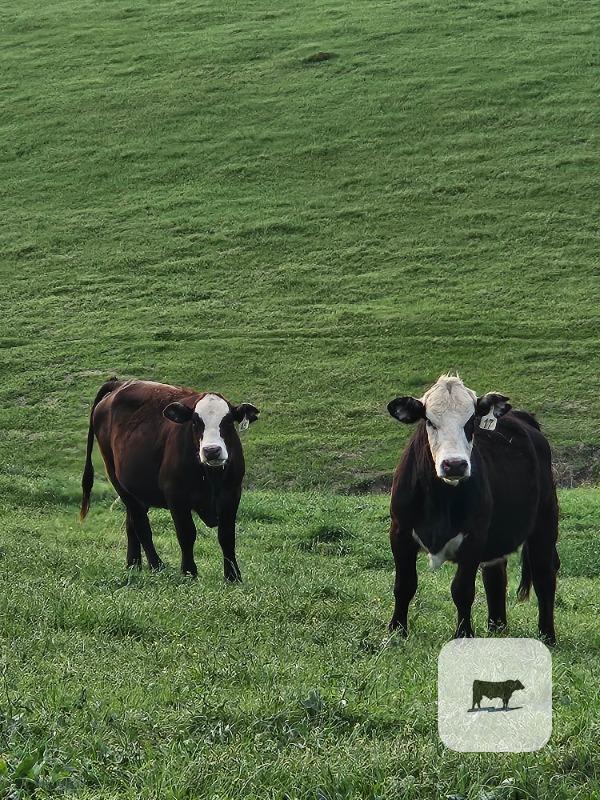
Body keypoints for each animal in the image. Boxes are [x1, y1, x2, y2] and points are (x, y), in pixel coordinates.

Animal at [80, 378, 259, 580]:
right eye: (195, 422)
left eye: (228, 421)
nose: (211, 451)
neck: (211, 476)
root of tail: (119, 383)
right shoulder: (176, 496)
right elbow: (187, 534)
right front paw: (189, 572)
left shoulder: (232, 494)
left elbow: (227, 536)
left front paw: (233, 576)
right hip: (117, 480)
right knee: (141, 525)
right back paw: (156, 565)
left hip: (135, 489)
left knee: (131, 524)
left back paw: (133, 565)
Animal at [386, 374, 559, 643]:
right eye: (429, 421)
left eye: (470, 422)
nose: (454, 464)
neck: (440, 499)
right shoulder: (399, 531)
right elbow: (404, 585)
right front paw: (396, 632)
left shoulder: (474, 537)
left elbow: (462, 590)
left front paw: (463, 635)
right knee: (495, 577)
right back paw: (497, 628)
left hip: (545, 522)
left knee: (544, 576)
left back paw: (547, 635)